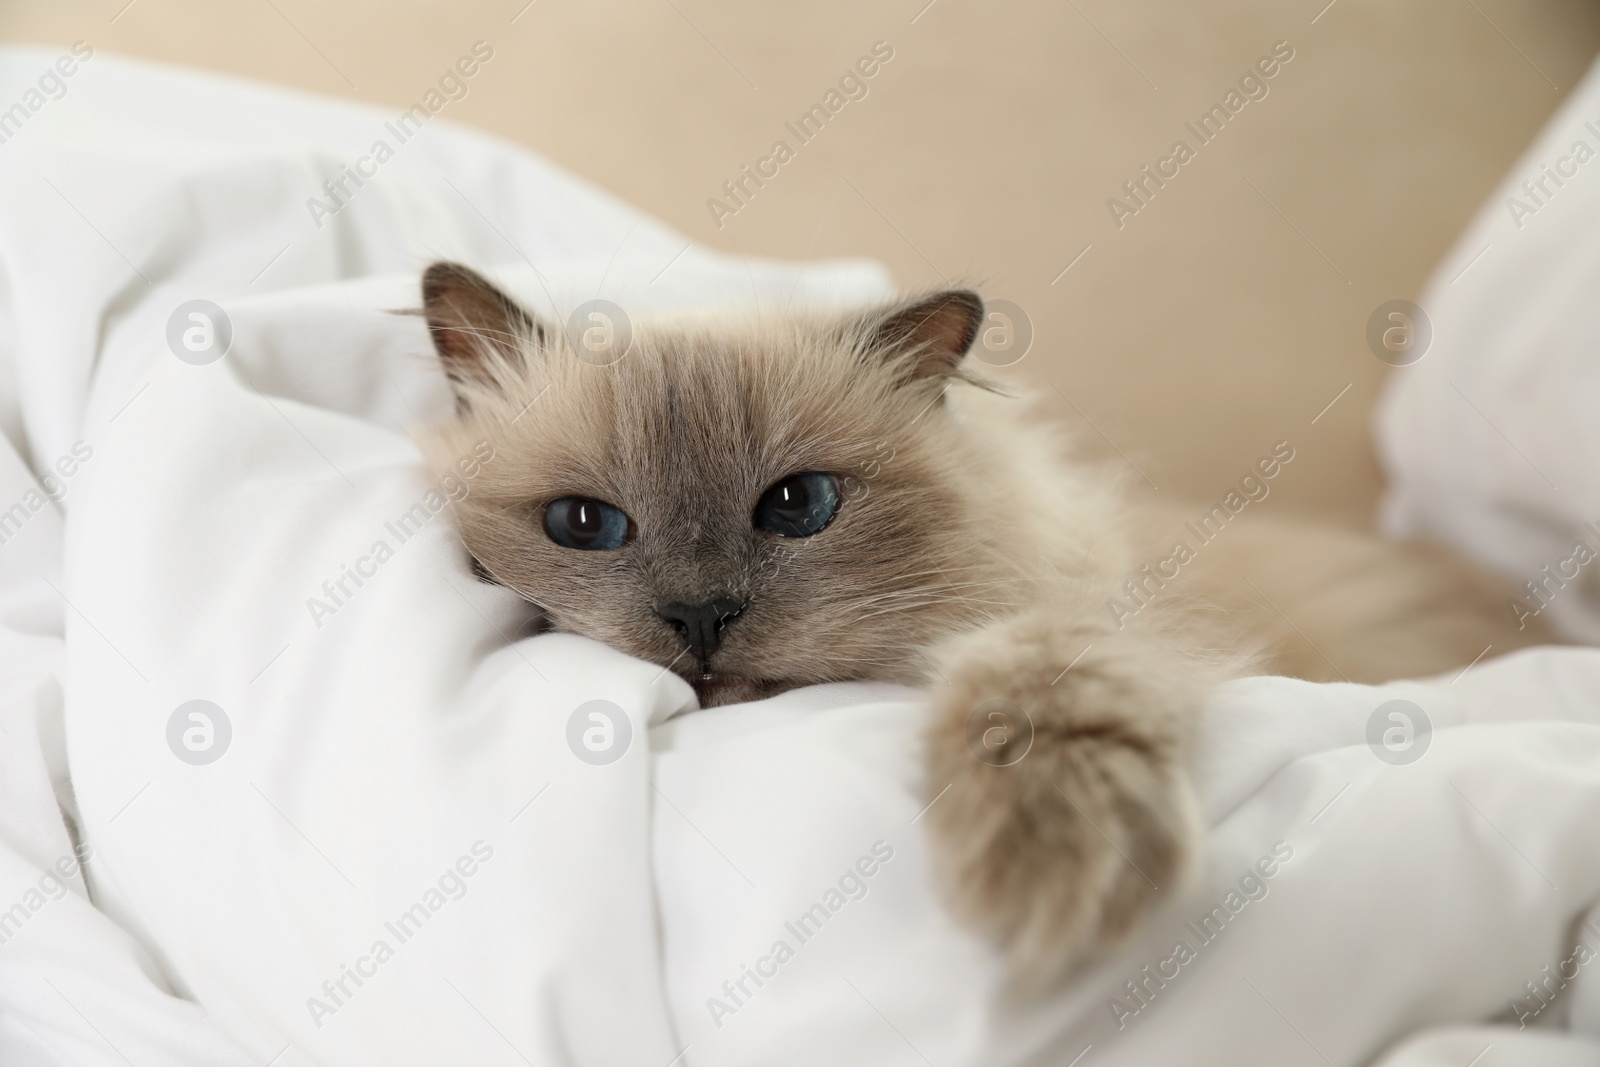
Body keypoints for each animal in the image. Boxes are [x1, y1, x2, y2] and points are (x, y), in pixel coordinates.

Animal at [416, 262, 1548, 991]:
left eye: (799, 505)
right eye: (584, 524)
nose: (700, 614)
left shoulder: (1102, 622)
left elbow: (1035, 689)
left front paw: (1044, 867)